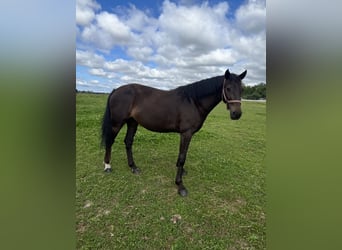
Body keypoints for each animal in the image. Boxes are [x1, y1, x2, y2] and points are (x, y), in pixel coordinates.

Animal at [100, 68, 247, 195]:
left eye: (242, 89)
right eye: (228, 88)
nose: (236, 114)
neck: (193, 101)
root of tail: (116, 90)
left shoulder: (185, 134)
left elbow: (181, 154)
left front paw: (181, 172)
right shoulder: (186, 133)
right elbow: (182, 157)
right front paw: (180, 185)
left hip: (132, 122)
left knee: (128, 142)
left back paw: (133, 167)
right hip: (117, 123)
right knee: (110, 141)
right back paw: (107, 166)